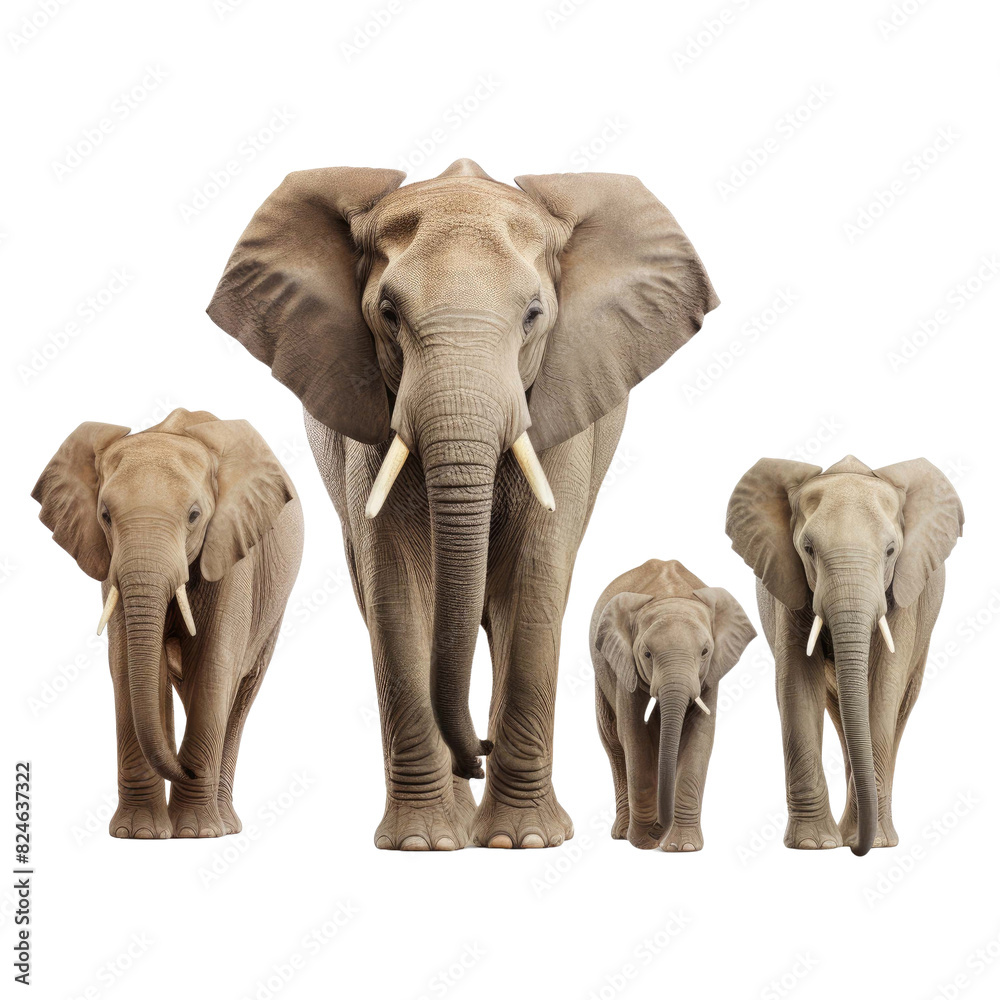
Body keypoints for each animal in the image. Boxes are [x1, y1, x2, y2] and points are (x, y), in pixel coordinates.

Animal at [32, 408, 303, 839]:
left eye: (194, 516)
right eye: (105, 516)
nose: (185, 769)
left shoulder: (230, 549)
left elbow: (212, 665)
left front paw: (196, 833)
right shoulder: (111, 564)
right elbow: (128, 667)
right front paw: (140, 833)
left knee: (240, 693)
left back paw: (224, 824)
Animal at [207, 158, 718, 849]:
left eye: (533, 314)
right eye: (388, 313)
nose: (476, 750)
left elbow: (535, 579)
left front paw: (521, 841)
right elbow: (397, 586)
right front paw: (424, 843)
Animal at [590, 559, 756, 851]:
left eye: (705, 652)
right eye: (646, 654)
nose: (657, 833)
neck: (671, 595)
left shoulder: (710, 673)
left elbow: (699, 734)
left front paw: (683, 847)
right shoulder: (625, 663)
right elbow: (632, 734)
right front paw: (643, 841)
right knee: (613, 742)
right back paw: (623, 834)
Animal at [726, 455, 963, 855]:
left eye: (891, 551)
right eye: (807, 549)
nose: (857, 850)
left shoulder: (903, 593)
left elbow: (883, 687)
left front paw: (874, 841)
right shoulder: (788, 584)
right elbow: (796, 684)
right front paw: (815, 844)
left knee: (898, 708)